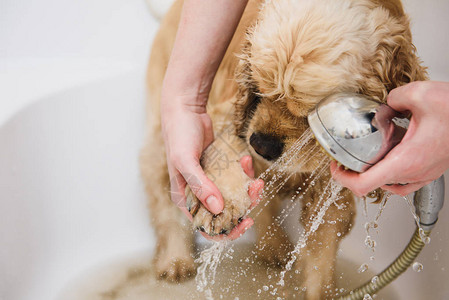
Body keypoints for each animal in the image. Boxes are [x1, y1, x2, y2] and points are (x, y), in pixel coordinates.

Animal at [141, 0, 428, 298]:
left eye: (310, 112)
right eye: (258, 87)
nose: (261, 145)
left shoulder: (332, 188)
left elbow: (321, 255)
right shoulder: (228, 115)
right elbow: (222, 151)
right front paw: (218, 207)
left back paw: (274, 248)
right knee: (164, 201)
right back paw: (175, 260)